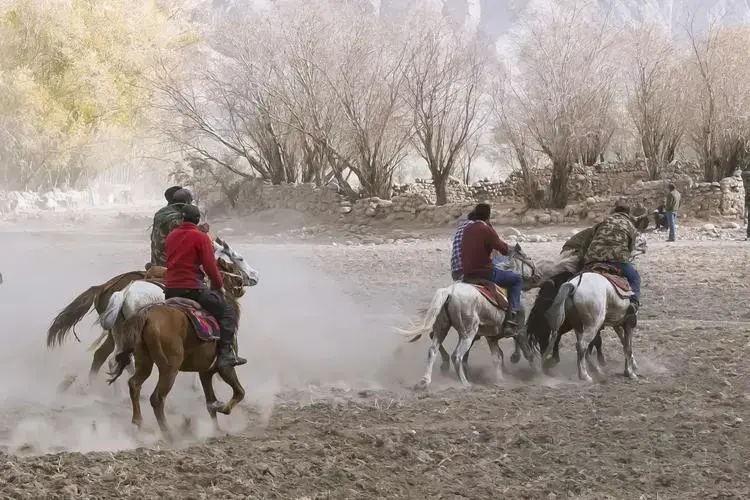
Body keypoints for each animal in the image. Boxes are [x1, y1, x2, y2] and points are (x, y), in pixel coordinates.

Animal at [108, 292, 244, 440]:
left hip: (144, 362)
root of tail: (147, 317)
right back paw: (169, 433)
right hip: (170, 369)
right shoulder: (225, 367)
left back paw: (138, 423)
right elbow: (239, 392)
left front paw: (217, 429)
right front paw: (222, 408)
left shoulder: (205, 372)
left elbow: (210, 401)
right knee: (157, 398)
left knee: (134, 384)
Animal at [402, 244, 544, 388]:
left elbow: (497, 358)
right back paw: (465, 383)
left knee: (432, 350)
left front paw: (501, 380)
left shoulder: (491, 337)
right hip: (468, 333)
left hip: (442, 328)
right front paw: (537, 375)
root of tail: (449, 291)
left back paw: (425, 381)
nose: (539, 275)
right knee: (457, 356)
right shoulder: (520, 330)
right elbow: (528, 354)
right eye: (529, 258)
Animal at [544, 232, 648, 380]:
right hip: (594, 323)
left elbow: (624, 343)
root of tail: (574, 285)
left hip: (578, 324)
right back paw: (585, 375)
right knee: (582, 345)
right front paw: (630, 373)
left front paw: (631, 367)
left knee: (580, 345)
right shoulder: (629, 322)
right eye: (639, 240)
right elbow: (628, 346)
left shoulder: (618, 323)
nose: (645, 245)